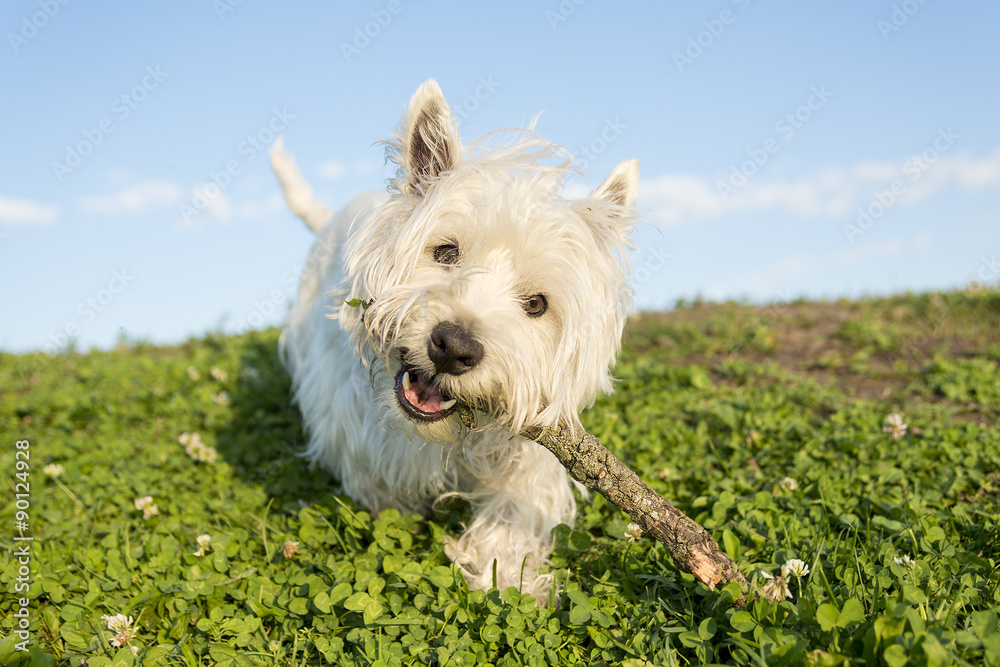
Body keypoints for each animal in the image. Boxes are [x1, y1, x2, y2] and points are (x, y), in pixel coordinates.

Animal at [272, 79, 632, 604]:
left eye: (536, 304)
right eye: (445, 252)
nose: (455, 348)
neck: (449, 440)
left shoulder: (531, 450)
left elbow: (513, 512)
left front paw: (508, 579)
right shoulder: (358, 435)